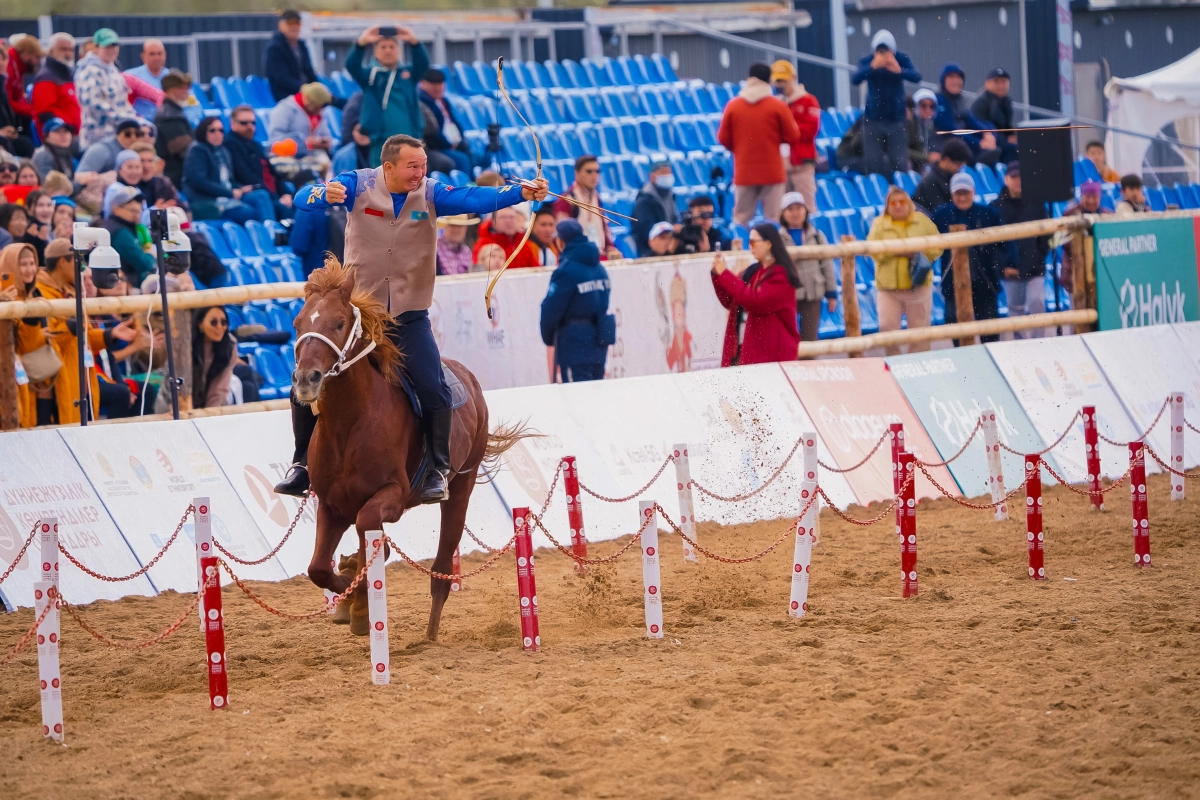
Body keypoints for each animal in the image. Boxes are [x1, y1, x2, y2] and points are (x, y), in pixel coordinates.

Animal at [291, 256, 525, 638]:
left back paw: (429, 634)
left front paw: (359, 603)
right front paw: (350, 598)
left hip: (461, 489)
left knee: (442, 568)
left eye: (339, 322)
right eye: (298, 323)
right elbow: (319, 569)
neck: (349, 426)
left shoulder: (394, 495)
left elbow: (367, 530)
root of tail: (469, 380)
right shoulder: (330, 504)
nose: (305, 379)